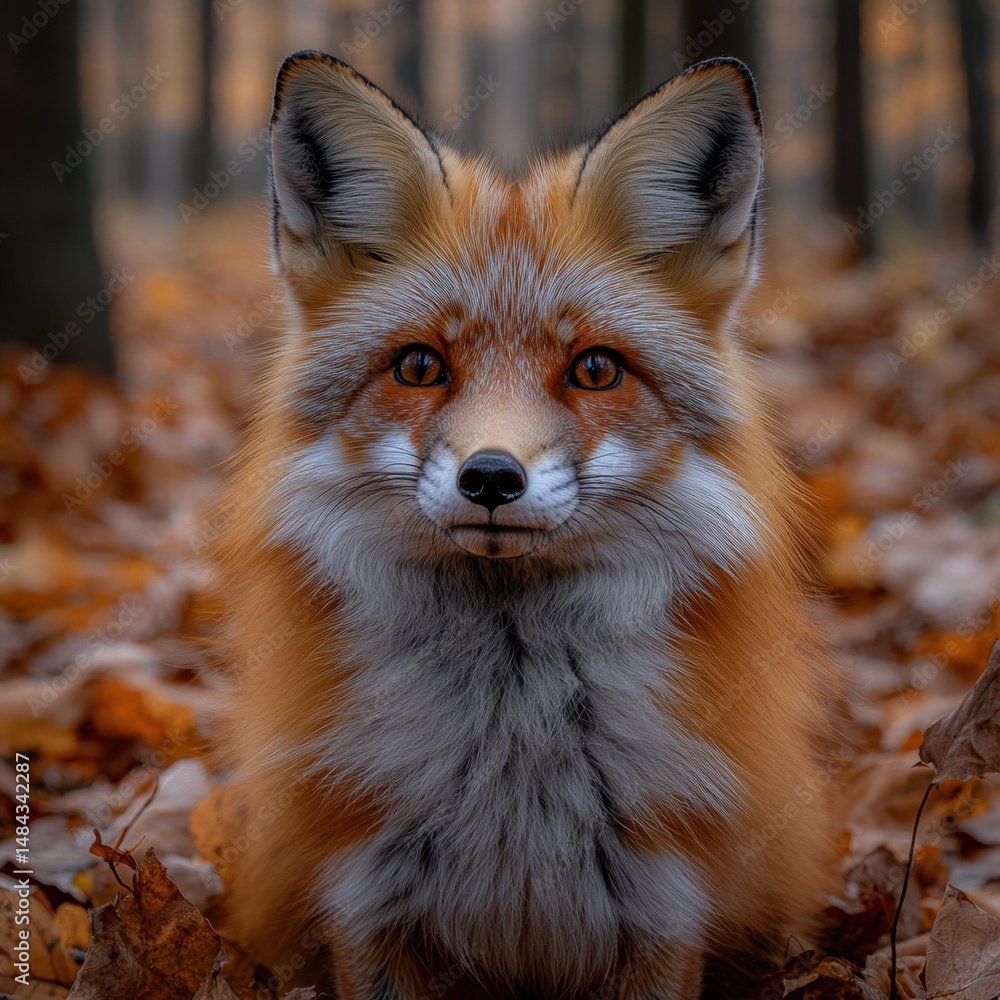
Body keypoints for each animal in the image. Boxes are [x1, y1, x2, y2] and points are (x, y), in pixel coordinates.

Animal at [214, 50, 837, 1000]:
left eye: (595, 370)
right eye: (420, 366)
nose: (492, 478)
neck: (516, 765)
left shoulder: (665, 905)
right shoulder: (365, 897)